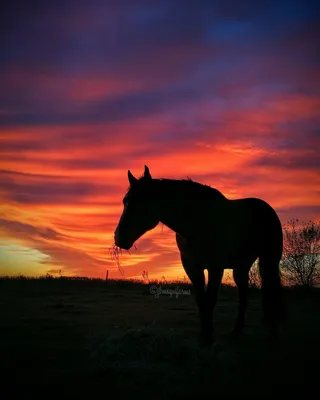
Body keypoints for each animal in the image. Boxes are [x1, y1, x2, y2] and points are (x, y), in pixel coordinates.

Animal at [114, 166, 284, 346]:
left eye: (142, 201)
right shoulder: (192, 267)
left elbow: (210, 299)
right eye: (125, 201)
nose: (119, 237)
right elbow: (201, 300)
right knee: (244, 295)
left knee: (272, 291)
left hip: (269, 262)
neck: (197, 222)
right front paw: (204, 335)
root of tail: (267, 209)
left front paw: (209, 337)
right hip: (242, 266)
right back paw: (236, 332)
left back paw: (272, 333)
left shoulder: (215, 268)